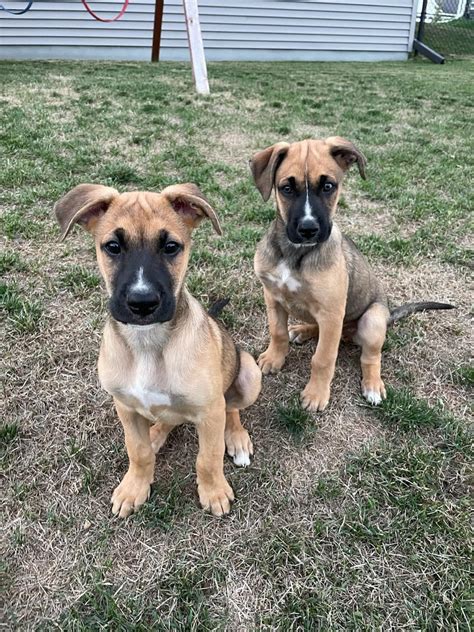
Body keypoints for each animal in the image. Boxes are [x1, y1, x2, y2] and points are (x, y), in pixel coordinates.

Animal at [57, 183, 262, 520]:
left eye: (171, 247)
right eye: (113, 246)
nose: (142, 303)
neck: (147, 343)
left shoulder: (210, 411)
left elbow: (208, 457)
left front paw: (214, 491)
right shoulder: (125, 407)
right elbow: (137, 452)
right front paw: (135, 487)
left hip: (248, 374)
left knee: (232, 407)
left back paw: (236, 438)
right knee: (167, 419)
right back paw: (155, 434)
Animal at [252, 138, 456, 412]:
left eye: (328, 186)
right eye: (286, 188)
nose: (309, 229)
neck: (295, 253)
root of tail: (389, 315)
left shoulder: (331, 312)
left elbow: (323, 358)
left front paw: (316, 394)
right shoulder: (273, 296)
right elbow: (278, 332)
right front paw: (274, 358)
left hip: (371, 320)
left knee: (370, 356)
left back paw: (373, 386)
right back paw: (303, 330)